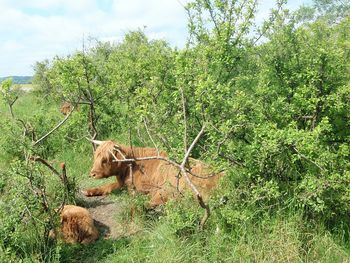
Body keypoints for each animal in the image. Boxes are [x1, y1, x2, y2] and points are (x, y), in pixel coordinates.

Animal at [82, 141, 221, 207]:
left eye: (106, 159)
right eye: (96, 156)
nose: (92, 174)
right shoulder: (122, 183)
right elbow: (108, 186)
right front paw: (88, 191)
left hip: (170, 186)